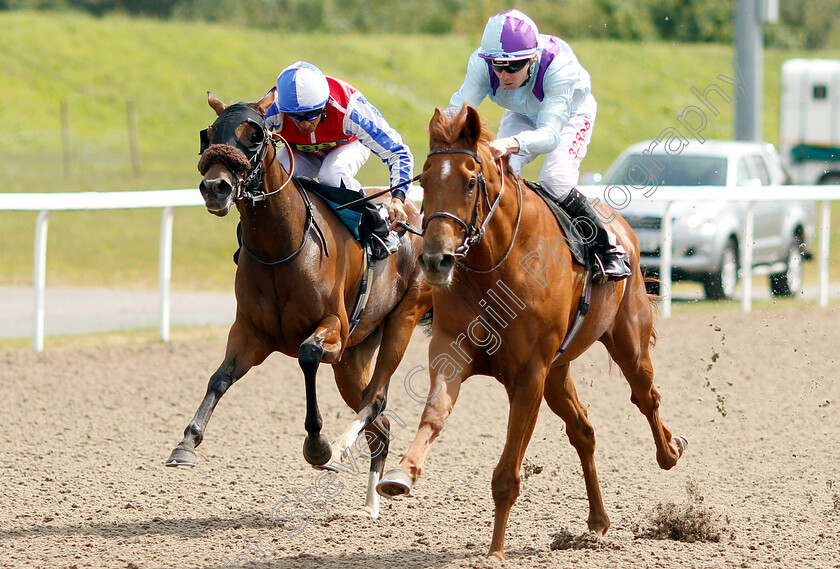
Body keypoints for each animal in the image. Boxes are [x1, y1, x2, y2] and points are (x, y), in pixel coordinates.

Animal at [167, 91, 434, 516]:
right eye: (208, 134)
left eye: (255, 136)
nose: (216, 188)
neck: (282, 249)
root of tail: (415, 220)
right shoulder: (251, 334)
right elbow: (219, 378)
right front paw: (186, 443)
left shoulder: (335, 331)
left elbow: (307, 354)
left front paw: (318, 446)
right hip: (353, 359)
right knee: (380, 425)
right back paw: (371, 504)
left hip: (400, 322)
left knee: (376, 402)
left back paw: (343, 454)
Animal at [378, 104, 684, 556]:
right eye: (425, 180)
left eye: (470, 181)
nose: (435, 260)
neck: (496, 264)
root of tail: (623, 228)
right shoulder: (453, 352)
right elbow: (434, 413)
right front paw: (401, 473)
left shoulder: (529, 375)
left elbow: (507, 474)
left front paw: (494, 552)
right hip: (558, 373)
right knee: (584, 431)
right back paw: (598, 520)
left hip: (627, 343)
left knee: (647, 397)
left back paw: (670, 451)